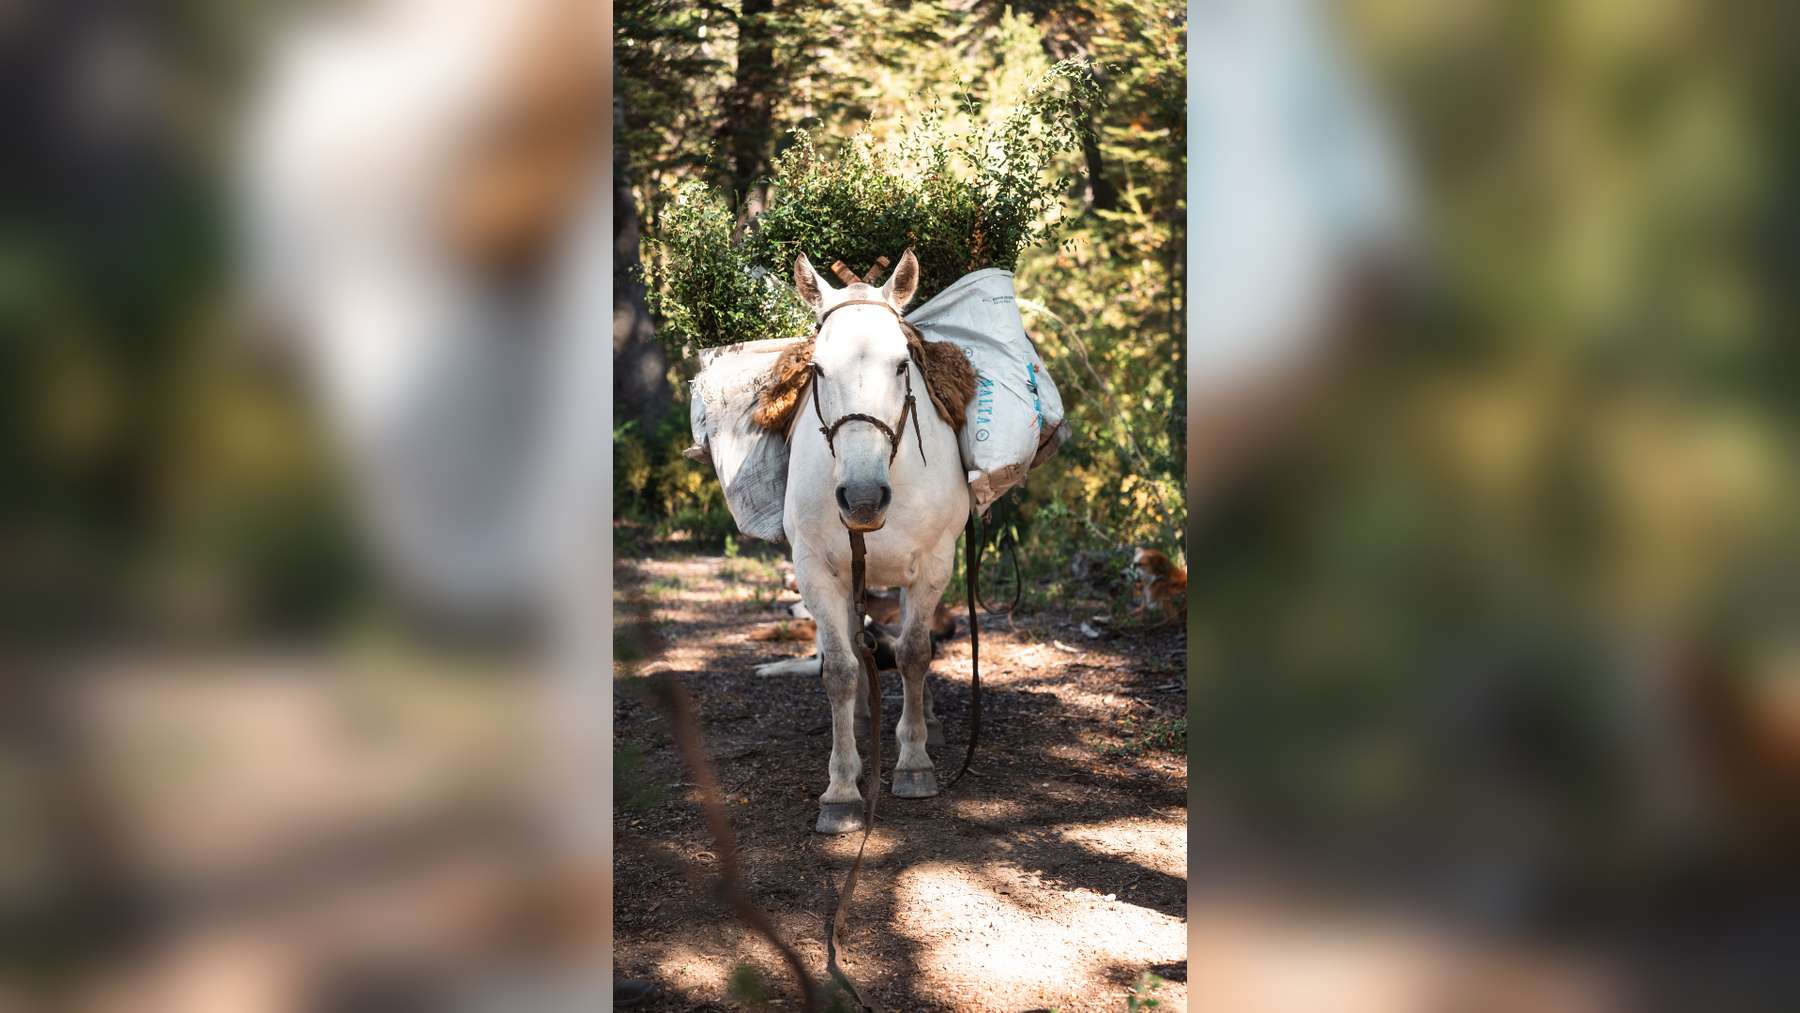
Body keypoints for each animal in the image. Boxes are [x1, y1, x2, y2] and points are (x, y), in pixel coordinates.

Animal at [771, 250, 972, 834]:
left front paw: (914, 762)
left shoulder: (933, 562)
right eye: (817, 369)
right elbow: (837, 670)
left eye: (903, 364)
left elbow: (914, 653)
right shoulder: (816, 569)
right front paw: (841, 789)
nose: (862, 498)